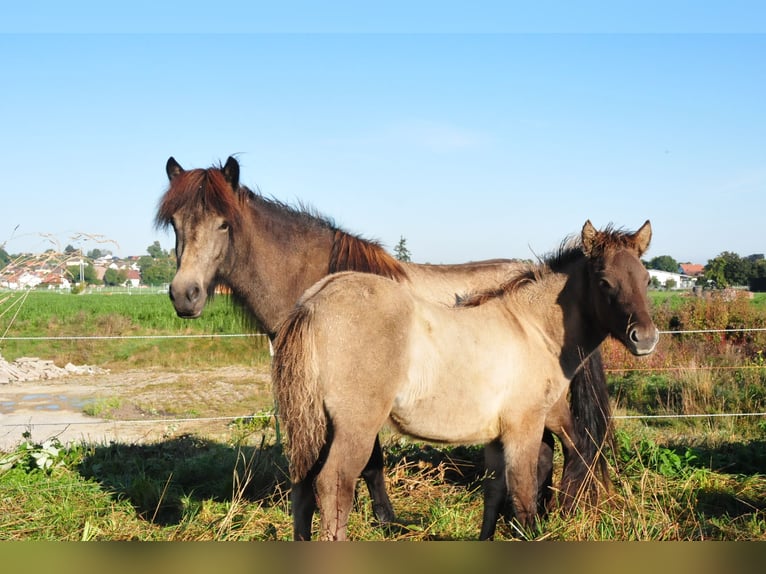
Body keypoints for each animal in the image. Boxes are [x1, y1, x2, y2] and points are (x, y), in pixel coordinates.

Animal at [156, 155, 616, 528]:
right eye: (175, 225)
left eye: (224, 224)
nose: (184, 295)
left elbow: (371, 463)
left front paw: (387, 519)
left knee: (570, 448)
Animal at [274, 220, 660, 540]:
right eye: (604, 282)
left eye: (646, 280)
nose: (645, 338)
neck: (533, 328)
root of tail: (313, 303)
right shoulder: (524, 425)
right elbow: (523, 491)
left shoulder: (502, 432)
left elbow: (497, 491)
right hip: (356, 425)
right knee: (333, 485)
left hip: (315, 421)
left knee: (302, 486)